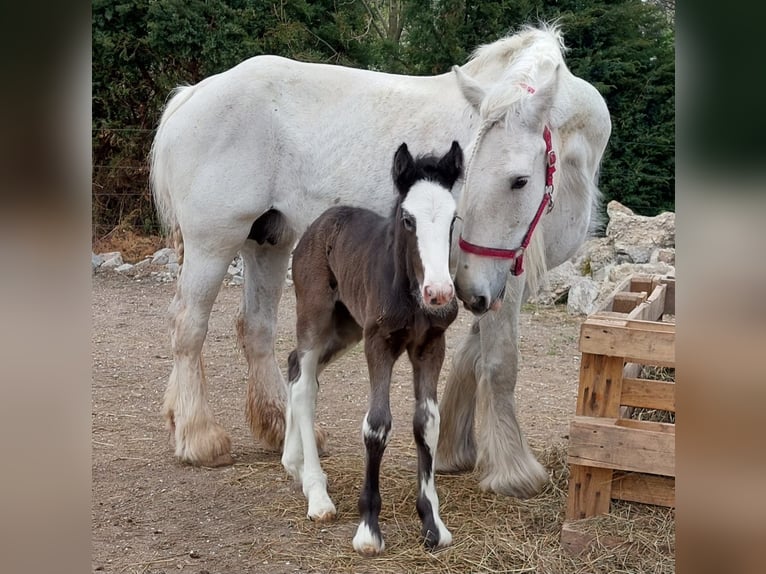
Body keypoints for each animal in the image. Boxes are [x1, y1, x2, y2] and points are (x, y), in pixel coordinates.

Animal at [149, 22, 611, 498]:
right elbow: (500, 363)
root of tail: (193, 94)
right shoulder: (496, 280)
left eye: (519, 180)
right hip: (213, 243)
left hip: (269, 243)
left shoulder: (492, 280)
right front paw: (514, 471)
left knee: (256, 330)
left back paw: (278, 427)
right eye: (470, 173)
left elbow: (472, 357)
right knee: (188, 327)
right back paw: (199, 436)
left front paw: (454, 450)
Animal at [282, 141, 463, 555]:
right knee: (304, 384)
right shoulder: (378, 343)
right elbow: (377, 424)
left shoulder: (431, 345)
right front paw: (368, 530)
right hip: (315, 316)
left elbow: (427, 422)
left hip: (346, 326)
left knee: (295, 367)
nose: (440, 293)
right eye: (408, 220)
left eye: (453, 219)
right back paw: (317, 494)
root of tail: (319, 222)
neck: (412, 295)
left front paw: (433, 523)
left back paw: (293, 463)